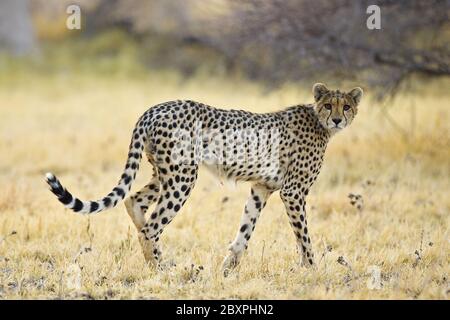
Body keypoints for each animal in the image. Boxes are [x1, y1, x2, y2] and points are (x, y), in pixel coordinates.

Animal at [45, 83, 362, 276]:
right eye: (329, 105)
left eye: (346, 106)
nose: (337, 119)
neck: (319, 123)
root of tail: (154, 108)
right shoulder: (293, 192)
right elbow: (304, 236)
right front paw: (313, 269)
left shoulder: (261, 188)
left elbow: (245, 231)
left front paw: (227, 269)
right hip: (183, 176)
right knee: (151, 226)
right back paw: (161, 270)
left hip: (165, 172)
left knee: (134, 202)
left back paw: (154, 259)